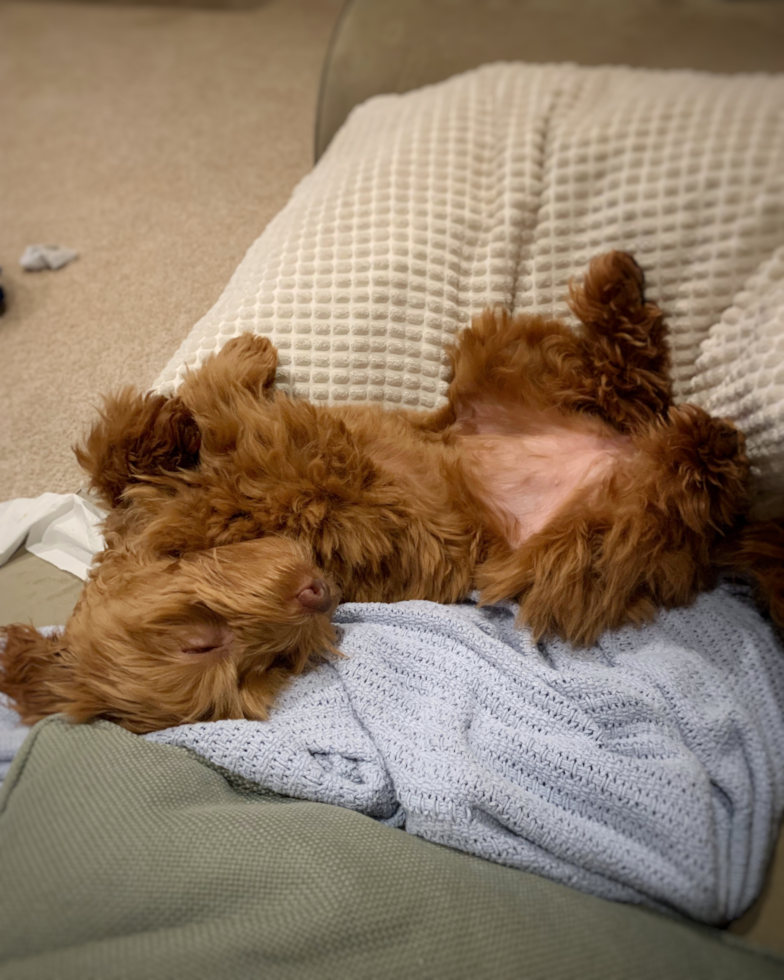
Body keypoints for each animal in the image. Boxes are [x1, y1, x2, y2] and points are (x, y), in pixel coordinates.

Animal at [3, 255, 780, 736]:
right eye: (270, 669)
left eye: (200, 640)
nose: (316, 593)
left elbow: (125, 444)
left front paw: (219, 378)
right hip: (595, 549)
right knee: (667, 450)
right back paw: (706, 441)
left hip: (501, 360)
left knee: (623, 381)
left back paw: (620, 287)